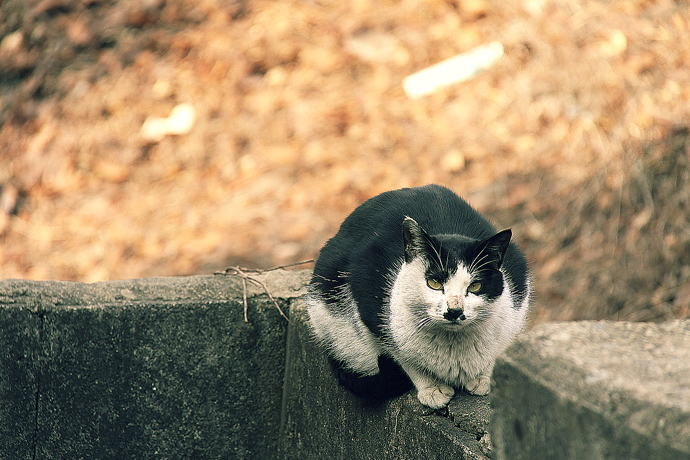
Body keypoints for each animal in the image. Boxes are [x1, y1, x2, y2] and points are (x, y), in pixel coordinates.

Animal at [304, 185, 528, 408]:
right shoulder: (370, 304)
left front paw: (483, 378)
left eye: (475, 286)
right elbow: (404, 359)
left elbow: (495, 352)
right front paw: (433, 389)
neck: (453, 347)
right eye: (434, 283)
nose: (454, 310)